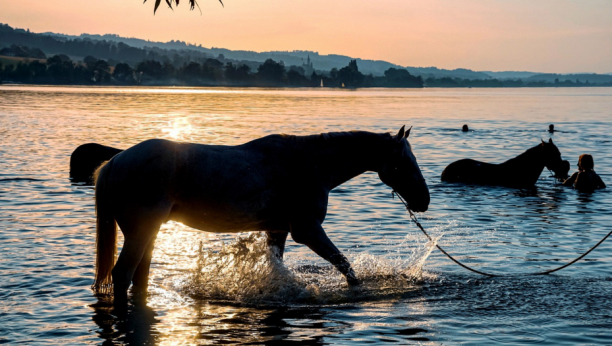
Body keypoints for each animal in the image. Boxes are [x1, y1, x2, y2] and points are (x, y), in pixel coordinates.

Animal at [93, 126, 430, 302]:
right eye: (402, 163)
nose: (424, 201)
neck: (309, 164)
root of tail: (114, 162)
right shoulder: (308, 230)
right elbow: (345, 267)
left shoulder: (278, 230)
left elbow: (277, 267)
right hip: (140, 232)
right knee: (122, 275)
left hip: (148, 233)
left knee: (138, 277)